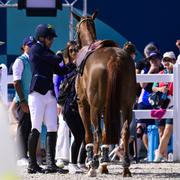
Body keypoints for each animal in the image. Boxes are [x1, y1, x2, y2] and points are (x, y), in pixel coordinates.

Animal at [72, 11, 136, 177]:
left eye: (76, 29)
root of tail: (115, 58)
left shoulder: (83, 105)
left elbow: (89, 134)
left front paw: (93, 162)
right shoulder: (108, 108)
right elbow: (108, 133)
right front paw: (104, 164)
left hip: (95, 107)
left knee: (96, 132)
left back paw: (93, 163)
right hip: (126, 107)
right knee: (125, 130)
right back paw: (125, 166)